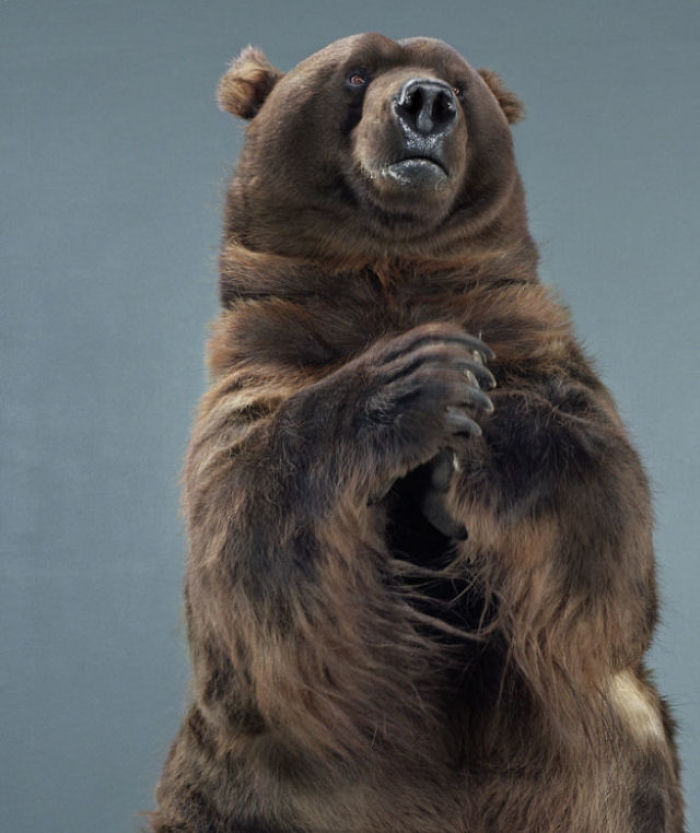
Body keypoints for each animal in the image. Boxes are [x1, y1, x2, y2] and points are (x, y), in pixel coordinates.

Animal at [150, 33, 685, 833]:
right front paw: (421, 377)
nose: (425, 102)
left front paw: (464, 435)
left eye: (458, 84)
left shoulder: (543, 349)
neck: (390, 275)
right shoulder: (257, 367)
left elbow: (607, 529)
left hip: (602, 771)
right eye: (356, 72)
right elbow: (241, 548)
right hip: (249, 786)